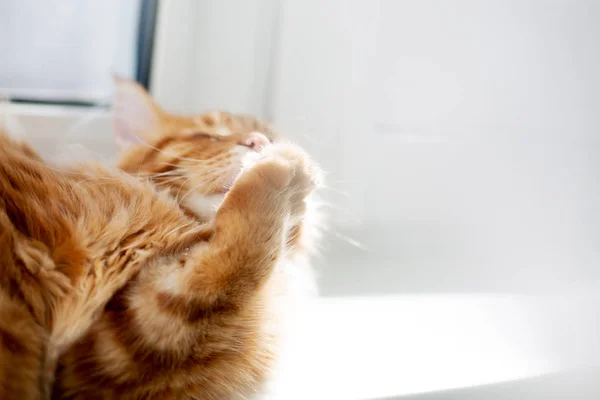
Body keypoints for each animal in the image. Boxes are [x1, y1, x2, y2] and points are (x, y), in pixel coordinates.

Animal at [54, 79, 322, 398]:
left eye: (267, 136)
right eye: (206, 136)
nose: (259, 141)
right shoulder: (113, 346)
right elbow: (229, 262)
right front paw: (286, 164)